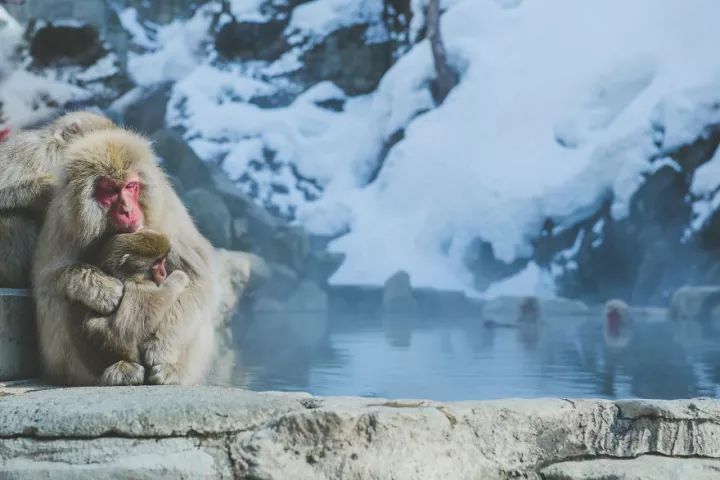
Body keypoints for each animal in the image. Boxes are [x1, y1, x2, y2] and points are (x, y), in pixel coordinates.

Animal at [76, 230, 190, 386]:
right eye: (157, 263)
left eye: (162, 261)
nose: (164, 273)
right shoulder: (139, 286)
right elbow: (128, 327)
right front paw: (180, 277)